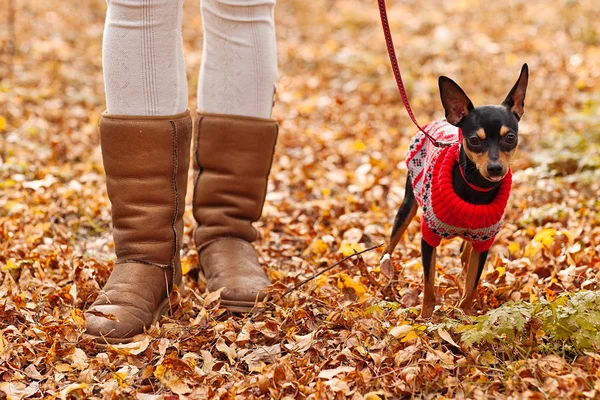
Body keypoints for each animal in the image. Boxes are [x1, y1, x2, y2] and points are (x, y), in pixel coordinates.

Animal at [382, 64, 528, 318]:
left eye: (510, 137)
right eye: (474, 140)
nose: (495, 168)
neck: (475, 188)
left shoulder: (484, 242)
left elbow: (472, 283)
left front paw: (466, 314)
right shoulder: (428, 238)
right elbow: (429, 284)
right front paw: (425, 318)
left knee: (464, 254)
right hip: (407, 207)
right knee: (390, 245)